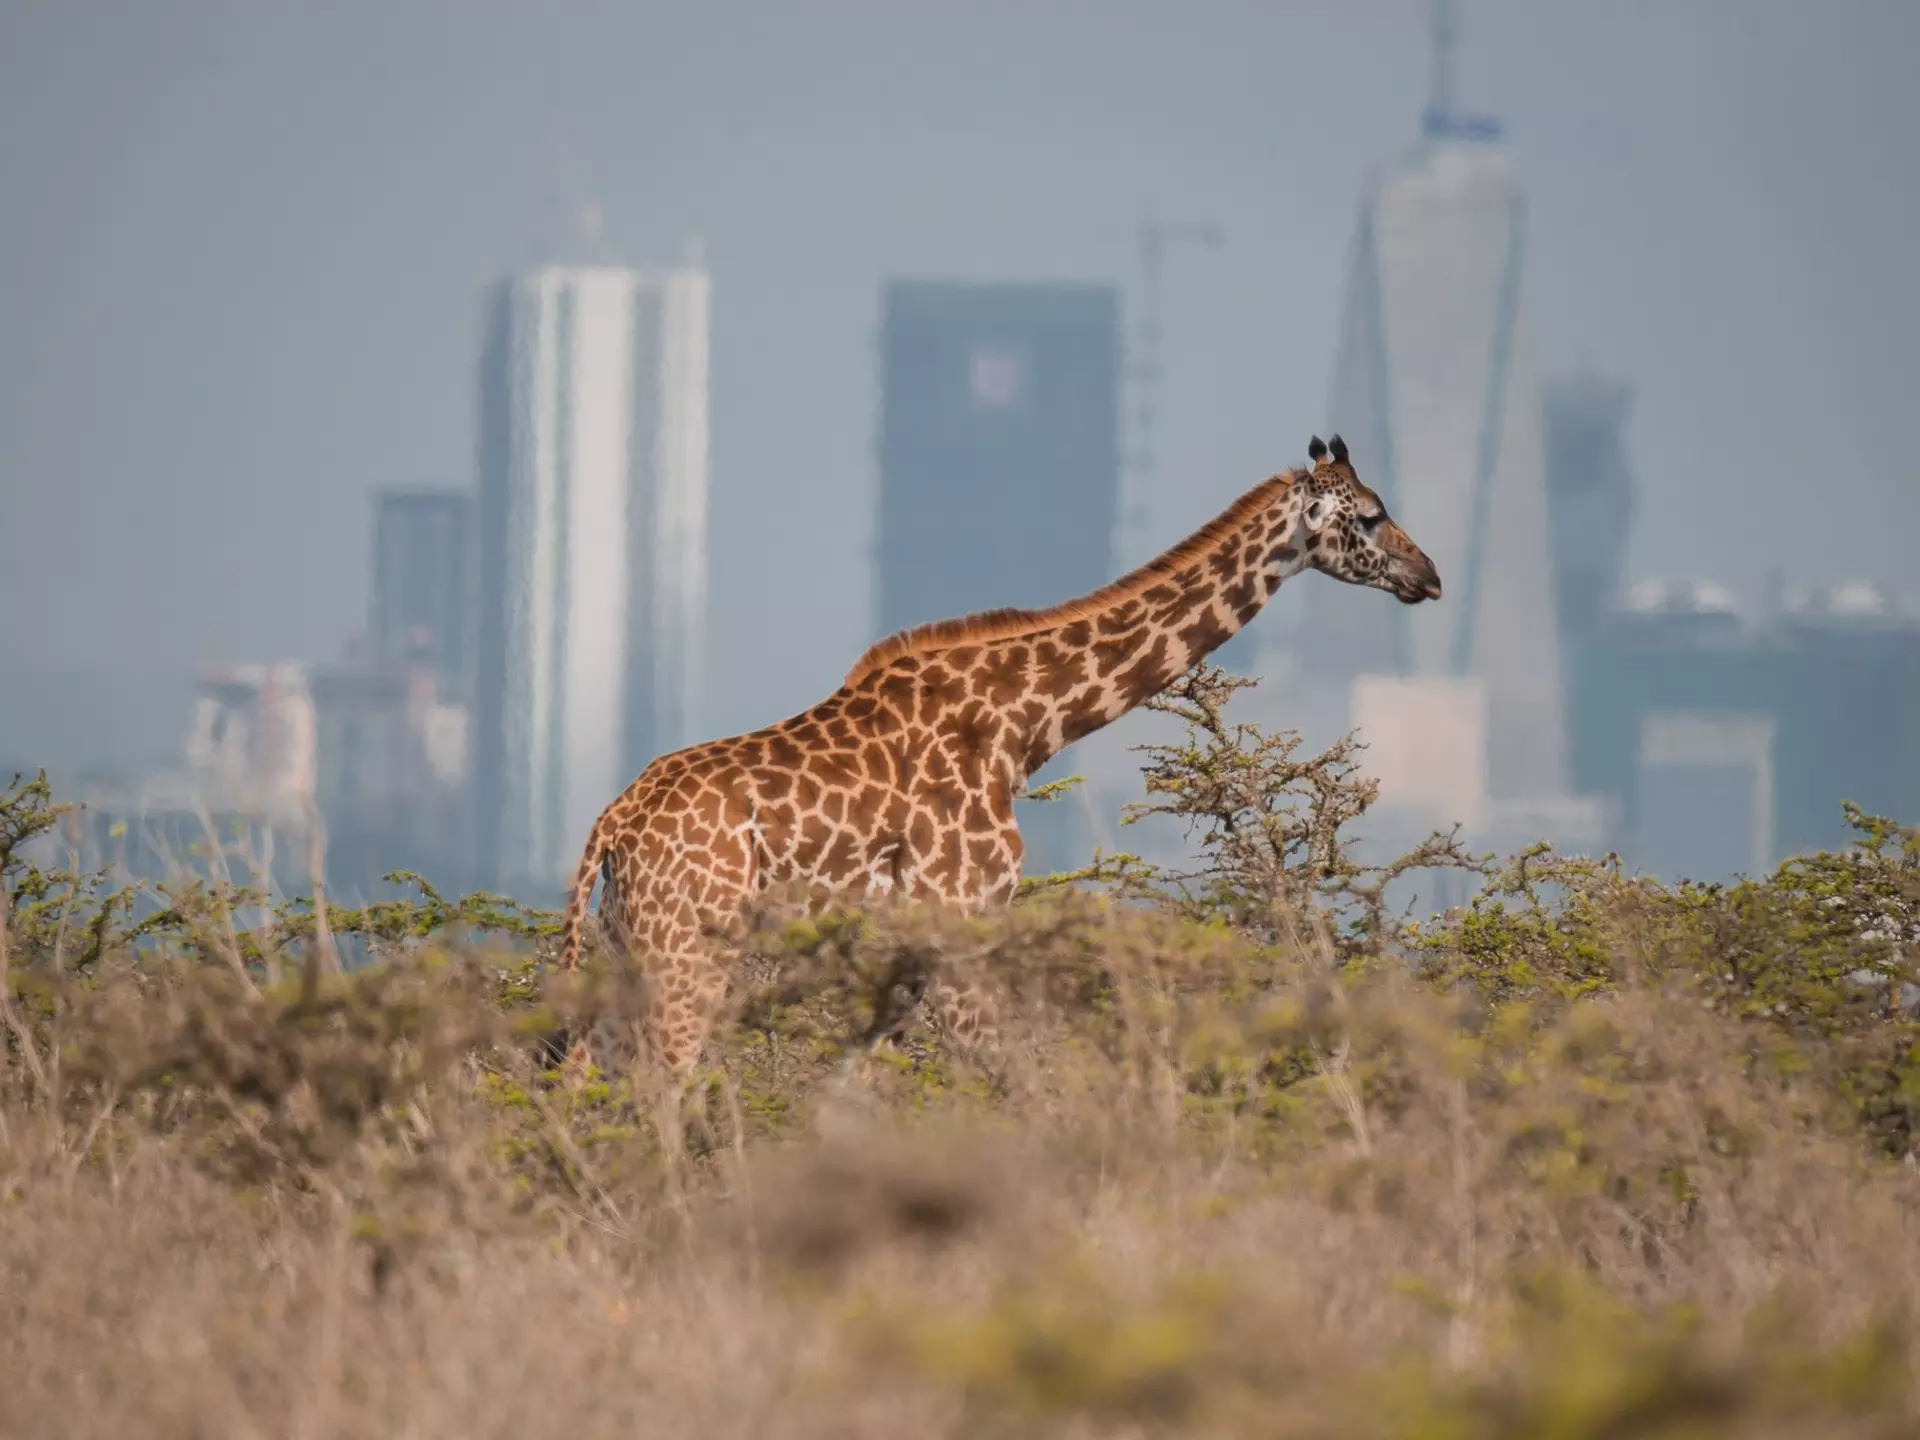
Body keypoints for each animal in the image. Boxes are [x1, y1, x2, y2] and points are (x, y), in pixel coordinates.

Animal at [555, 433, 1441, 1080]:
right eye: (1369, 516)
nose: (1427, 575)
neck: (1021, 729)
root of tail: (612, 824)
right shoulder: (962, 923)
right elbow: (1023, 1083)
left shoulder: (913, 951)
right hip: (688, 951)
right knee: (659, 1089)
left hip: (628, 945)